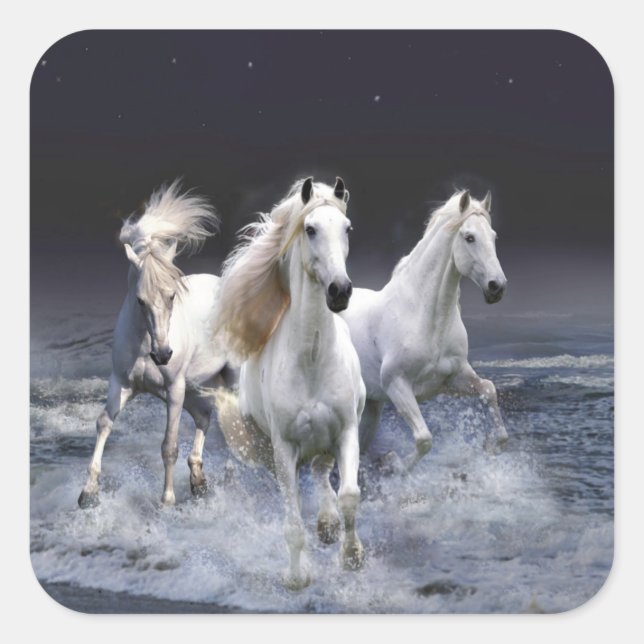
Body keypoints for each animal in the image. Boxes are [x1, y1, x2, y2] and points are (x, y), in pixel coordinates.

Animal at [78, 180, 234, 509]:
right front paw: (88, 493)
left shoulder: (173, 389)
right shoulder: (122, 383)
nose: (163, 355)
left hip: (227, 379)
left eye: (172, 295)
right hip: (195, 387)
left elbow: (169, 445)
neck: (144, 344)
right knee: (204, 417)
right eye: (140, 300)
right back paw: (198, 481)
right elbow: (103, 423)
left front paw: (167, 501)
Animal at [213, 177, 366, 589]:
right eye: (310, 229)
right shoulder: (284, 448)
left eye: (347, 229)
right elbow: (293, 522)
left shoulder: (346, 430)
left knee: (322, 474)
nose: (339, 291)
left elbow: (349, 495)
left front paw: (352, 557)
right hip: (273, 451)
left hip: (326, 442)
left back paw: (328, 526)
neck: (311, 360)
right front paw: (298, 578)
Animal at [340, 189, 508, 471]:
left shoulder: (453, 378)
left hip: (371, 406)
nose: (497, 287)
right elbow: (424, 439)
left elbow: (488, 389)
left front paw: (492, 445)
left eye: (494, 236)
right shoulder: (397, 385)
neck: (425, 319)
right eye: (469, 237)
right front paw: (394, 463)